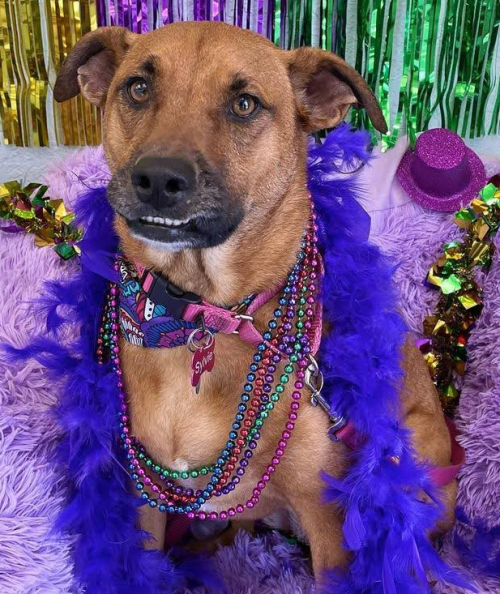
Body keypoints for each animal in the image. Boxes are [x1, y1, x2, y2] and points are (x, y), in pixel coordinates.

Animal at [53, 21, 457, 577]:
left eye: (244, 104)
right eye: (137, 88)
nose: (158, 178)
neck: (204, 315)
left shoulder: (330, 523)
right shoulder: (144, 504)